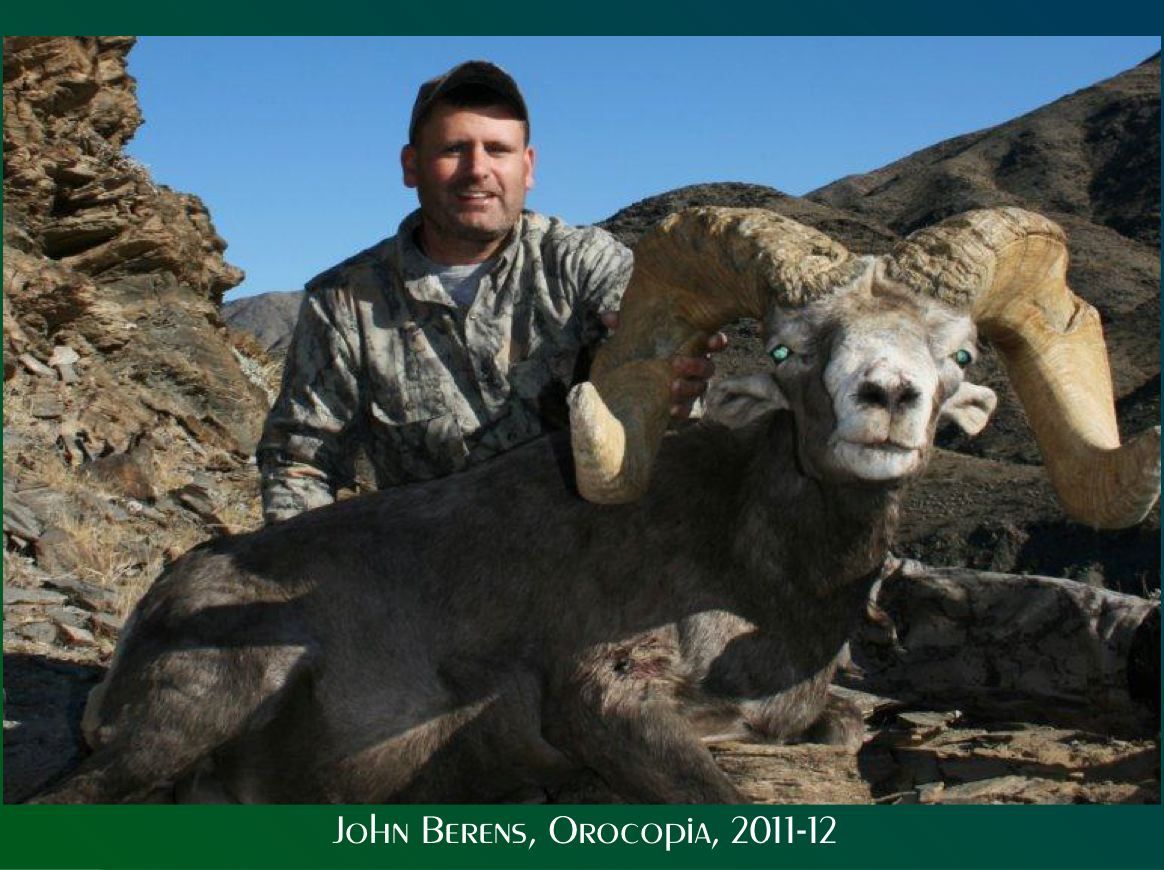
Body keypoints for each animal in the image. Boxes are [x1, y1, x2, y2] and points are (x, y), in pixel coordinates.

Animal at [32, 206, 1160, 804]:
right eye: (788, 348)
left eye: (960, 354)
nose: (886, 401)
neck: (771, 591)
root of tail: (163, 604)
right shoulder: (604, 699)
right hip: (205, 701)